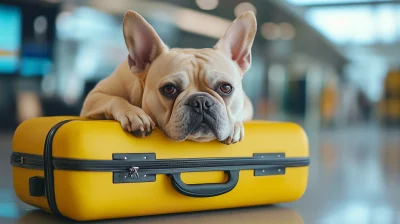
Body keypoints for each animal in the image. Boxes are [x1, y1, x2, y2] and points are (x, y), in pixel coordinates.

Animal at [80, 10, 258, 145]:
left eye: (226, 88)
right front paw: (134, 114)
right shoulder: (93, 97)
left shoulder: (247, 103)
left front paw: (235, 125)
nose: (201, 101)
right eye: (169, 89)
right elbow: (115, 99)